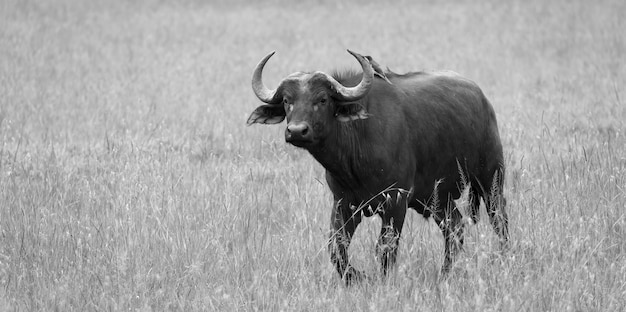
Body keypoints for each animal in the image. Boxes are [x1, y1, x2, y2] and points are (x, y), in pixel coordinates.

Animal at [244, 50, 508, 284]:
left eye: (322, 99)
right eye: (287, 101)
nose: (297, 131)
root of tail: (482, 100)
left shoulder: (396, 202)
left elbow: (385, 248)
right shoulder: (344, 203)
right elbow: (336, 247)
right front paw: (357, 278)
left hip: (491, 181)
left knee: (500, 221)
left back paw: (503, 260)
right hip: (435, 198)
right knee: (455, 229)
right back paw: (444, 275)